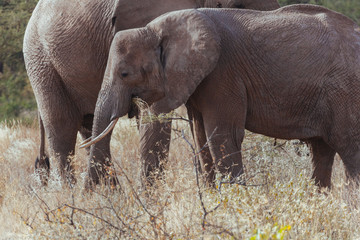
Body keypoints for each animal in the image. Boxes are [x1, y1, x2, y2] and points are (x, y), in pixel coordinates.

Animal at [23, 0, 282, 186]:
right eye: (239, 4)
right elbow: (155, 115)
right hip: (41, 62)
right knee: (62, 129)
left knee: (90, 129)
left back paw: (107, 198)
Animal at [85, 4, 360, 188]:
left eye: (124, 73)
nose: (94, 193)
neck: (156, 28)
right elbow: (201, 137)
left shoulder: (222, 75)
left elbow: (222, 136)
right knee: (321, 152)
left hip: (345, 92)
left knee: (349, 149)